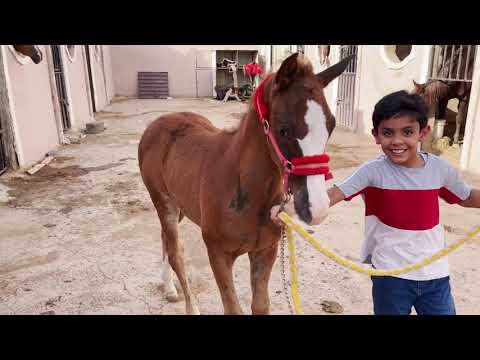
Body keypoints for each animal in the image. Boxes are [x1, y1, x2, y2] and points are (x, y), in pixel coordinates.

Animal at [138, 52, 352, 314]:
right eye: (283, 130)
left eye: (330, 126)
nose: (317, 208)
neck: (244, 189)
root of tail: (157, 123)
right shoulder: (218, 254)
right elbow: (233, 307)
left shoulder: (265, 251)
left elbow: (260, 305)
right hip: (163, 201)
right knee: (175, 251)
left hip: (180, 204)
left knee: (165, 240)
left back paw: (169, 287)